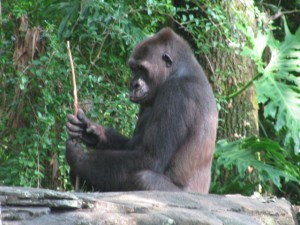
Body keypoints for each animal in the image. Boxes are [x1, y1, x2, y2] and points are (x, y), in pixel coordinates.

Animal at [65, 27, 218, 193]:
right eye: (133, 68)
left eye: (142, 69)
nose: (134, 85)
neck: (179, 69)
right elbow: (130, 145)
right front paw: (91, 131)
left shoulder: (176, 92)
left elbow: (151, 158)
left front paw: (80, 158)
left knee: (143, 179)